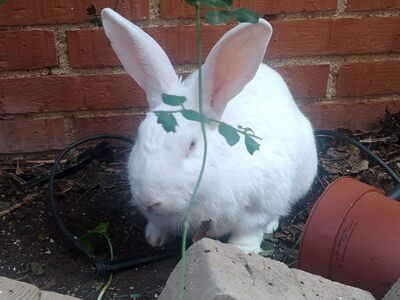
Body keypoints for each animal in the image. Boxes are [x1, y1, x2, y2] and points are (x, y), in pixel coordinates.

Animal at [101, 8, 318, 253]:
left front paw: (242, 250)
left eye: (192, 144)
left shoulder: (261, 202)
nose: (149, 200)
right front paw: (154, 238)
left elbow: (249, 228)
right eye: (140, 134)